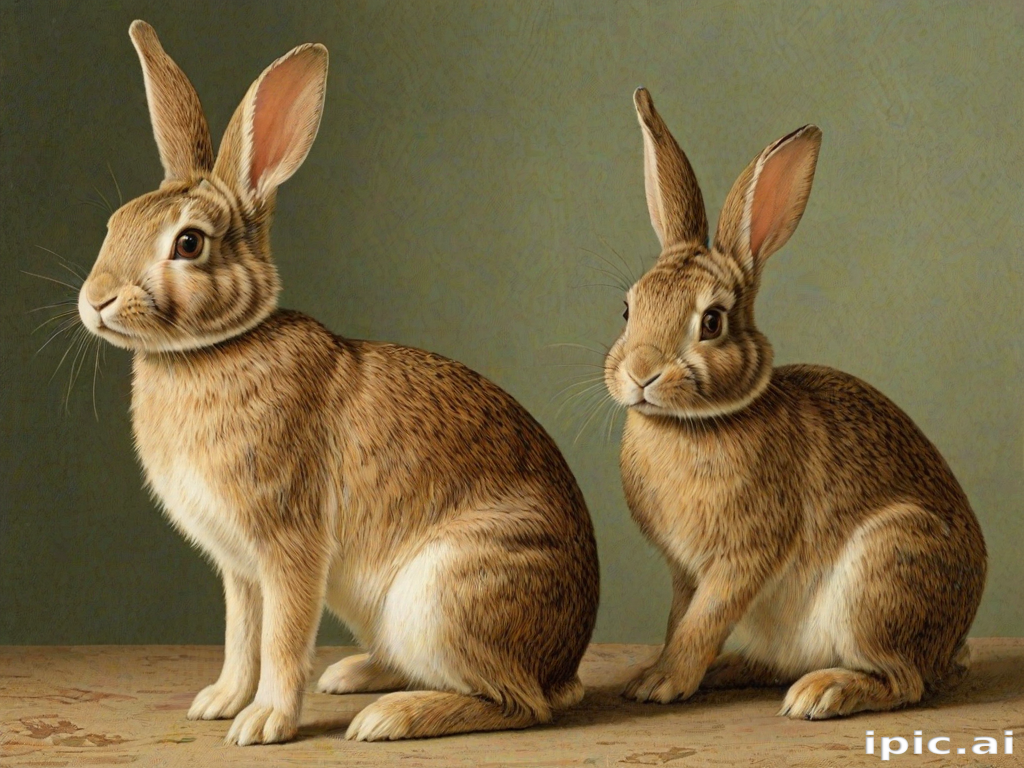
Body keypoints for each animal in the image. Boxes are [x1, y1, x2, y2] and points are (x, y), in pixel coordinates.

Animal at [75, 21, 599, 745]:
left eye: (189, 244)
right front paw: (219, 702)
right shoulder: (239, 568)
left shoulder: (290, 545)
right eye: (115, 223)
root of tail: (565, 662)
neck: (208, 350)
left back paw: (389, 718)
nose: (95, 300)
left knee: (521, 704)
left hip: (444, 594)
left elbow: (282, 639)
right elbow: (241, 635)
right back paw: (354, 675)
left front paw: (264, 722)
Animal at [603, 87, 986, 720]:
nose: (640, 373)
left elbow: (701, 622)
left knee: (903, 681)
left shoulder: (742, 557)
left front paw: (662, 682)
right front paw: (659, 673)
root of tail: (949, 646)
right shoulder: (683, 570)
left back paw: (822, 693)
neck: (693, 424)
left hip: (884, 575)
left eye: (712, 322)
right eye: (629, 309)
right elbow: (679, 619)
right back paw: (732, 671)